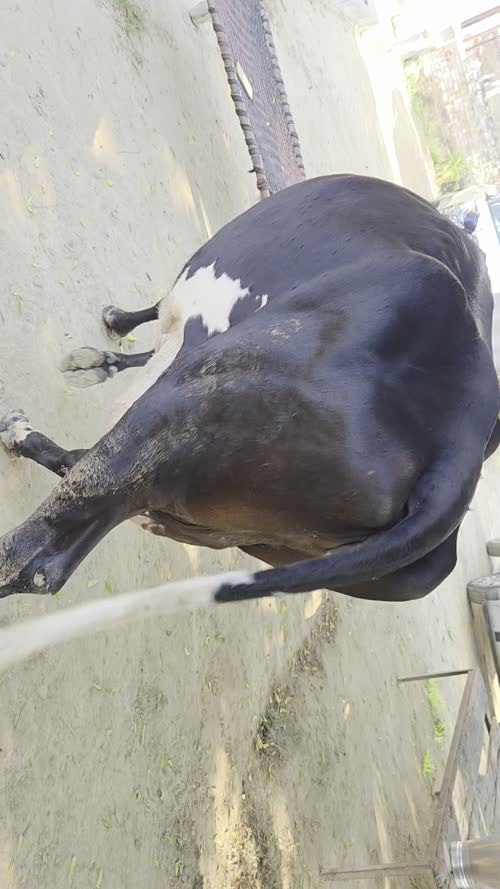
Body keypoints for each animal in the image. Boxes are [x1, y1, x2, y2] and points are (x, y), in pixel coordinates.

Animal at [0, 173, 499, 613]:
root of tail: (464, 447)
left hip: (178, 411)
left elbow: (156, 310)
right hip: (240, 532)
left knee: (36, 559)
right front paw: (97, 362)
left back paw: (18, 437)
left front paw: (113, 328)